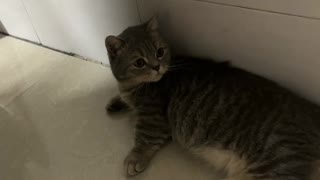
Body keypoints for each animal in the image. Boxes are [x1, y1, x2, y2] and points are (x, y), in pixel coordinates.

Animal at [104, 17, 318, 180]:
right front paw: (115, 102)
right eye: (139, 62)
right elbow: (124, 100)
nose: (157, 67)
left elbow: (144, 138)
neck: (130, 86)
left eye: (160, 52)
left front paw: (135, 158)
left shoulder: (153, 120)